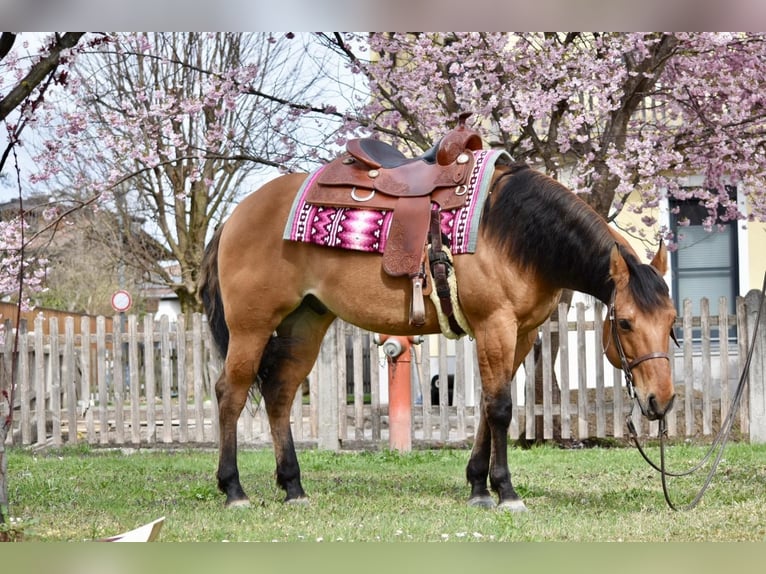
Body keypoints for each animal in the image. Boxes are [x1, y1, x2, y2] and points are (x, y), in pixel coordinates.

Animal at [198, 161, 678, 511]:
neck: (515, 232)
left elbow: (488, 406)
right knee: (230, 394)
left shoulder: (520, 333)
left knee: (278, 395)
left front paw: (479, 487)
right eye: (625, 322)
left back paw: (293, 487)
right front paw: (506, 492)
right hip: (251, 327)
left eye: (672, 322)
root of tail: (234, 216)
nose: (661, 401)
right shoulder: (495, 326)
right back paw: (234, 490)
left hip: (305, 324)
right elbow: (501, 408)